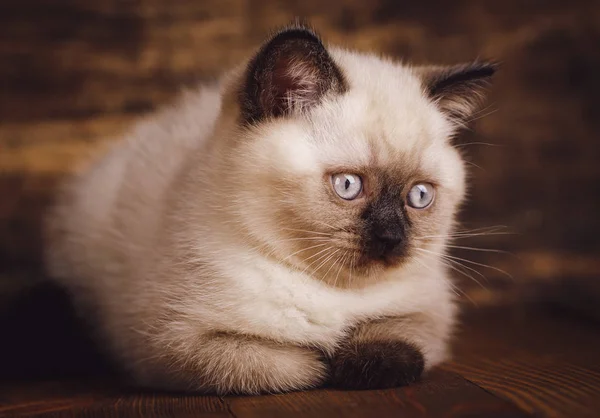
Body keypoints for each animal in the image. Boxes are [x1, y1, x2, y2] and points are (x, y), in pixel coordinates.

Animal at [45, 24, 496, 394]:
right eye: (348, 186)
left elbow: (397, 343)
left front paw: (352, 359)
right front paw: (324, 359)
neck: (329, 290)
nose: (392, 237)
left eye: (419, 196)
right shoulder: (174, 346)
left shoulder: (427, 312)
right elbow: (288, 366)